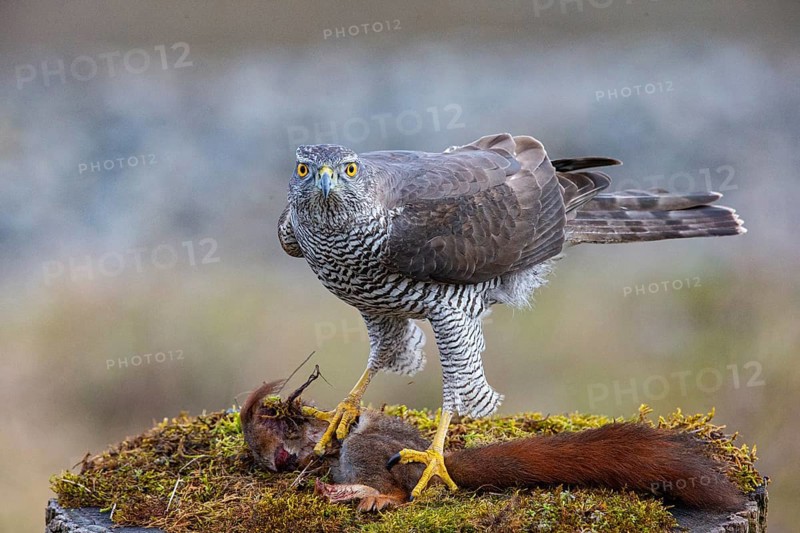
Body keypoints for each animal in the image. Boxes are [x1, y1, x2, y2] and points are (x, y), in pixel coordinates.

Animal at [240, 380, 745, 513]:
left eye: (277, 423)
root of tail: (437, 464)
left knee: (400, 492)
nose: (275, 460)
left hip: (369, 454)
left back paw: (361, 495)